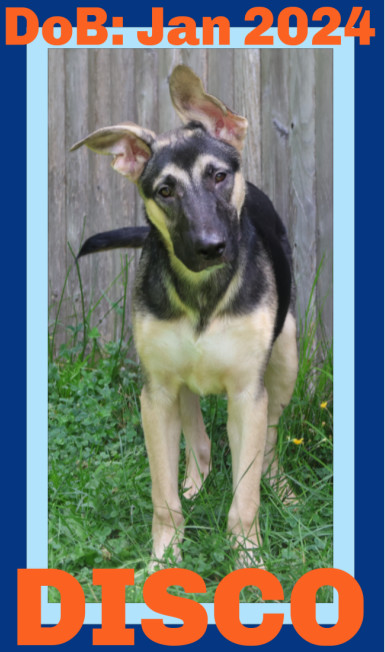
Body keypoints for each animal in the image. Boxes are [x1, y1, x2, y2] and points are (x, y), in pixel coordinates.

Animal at [71, 63, 296, 568]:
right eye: (165, 190)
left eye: (218, 176)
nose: (211, 247)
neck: (201, 292)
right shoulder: (155, 395)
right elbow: (163, 496)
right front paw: (162, 560)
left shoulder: (246, 395)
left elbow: (245, 496)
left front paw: (249, 561)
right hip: (178, 382)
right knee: (198, 433)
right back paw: (195, 482)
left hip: (285, 356)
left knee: (271, 440)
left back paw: (282, 489)